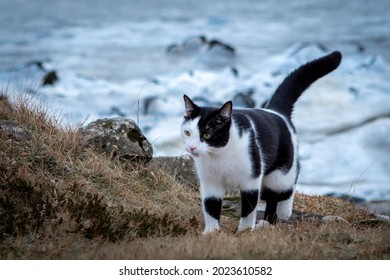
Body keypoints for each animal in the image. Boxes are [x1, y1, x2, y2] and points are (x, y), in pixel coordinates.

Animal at [181, 50, 342, 234]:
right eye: (187, 132)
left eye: (207, 135)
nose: (192, 147)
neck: (219, 156)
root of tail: (276, 111)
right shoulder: (210, 182)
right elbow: (210, 207)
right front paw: (211, 232)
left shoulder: (251, 180)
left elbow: (248, 208)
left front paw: (244, 231)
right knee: (270, 197)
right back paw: (267, 222)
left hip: (281, 170)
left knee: (285, 186)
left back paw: (283, 212)